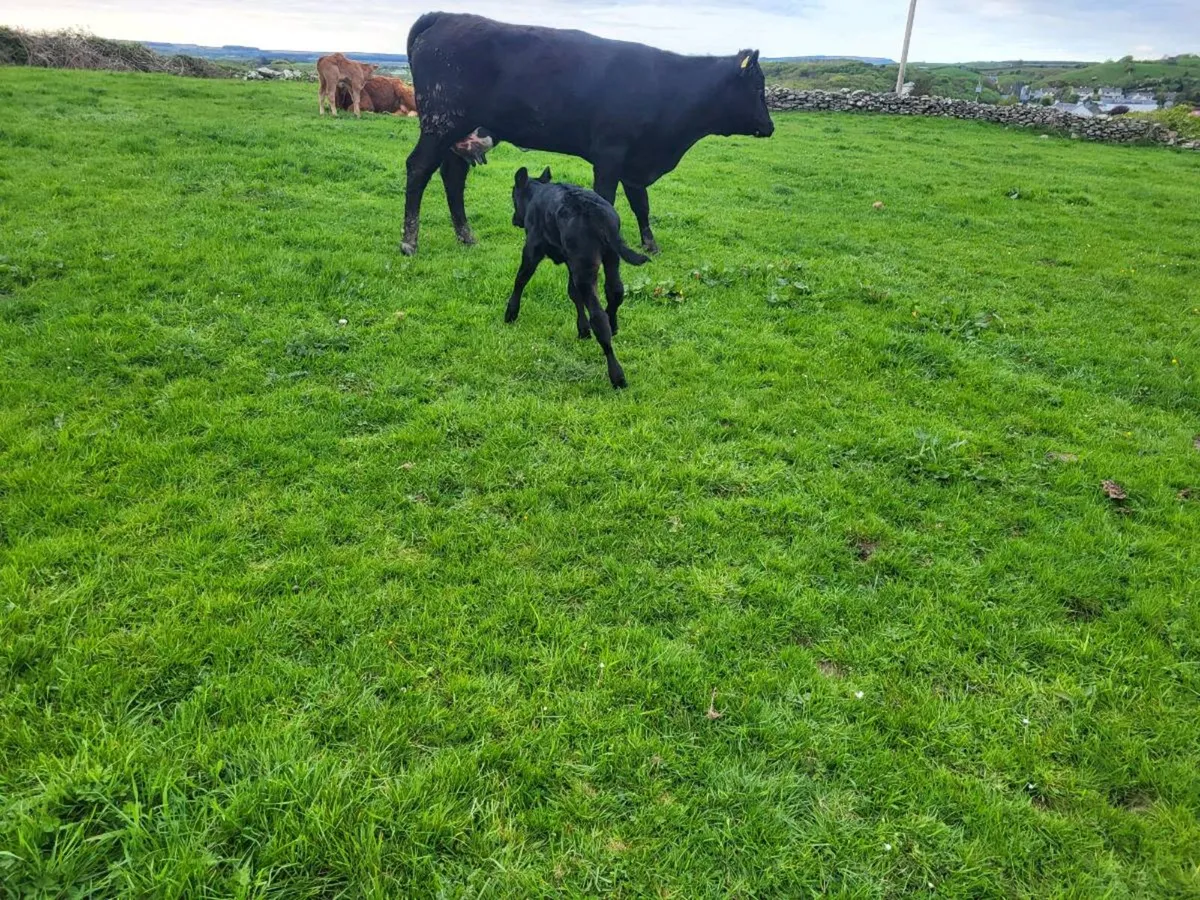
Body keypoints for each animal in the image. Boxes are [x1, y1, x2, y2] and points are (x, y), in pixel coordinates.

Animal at [399, 12, 774, 257]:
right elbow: (608, 199)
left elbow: (641, 205)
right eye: (758, 87)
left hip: (458, 134)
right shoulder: (610, 153)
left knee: (452, 176)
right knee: (418, 169)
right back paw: (409, 241)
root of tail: (444, 16)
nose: (769, 126)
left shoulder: (634, 161)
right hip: (440, 123)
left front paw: (651, 244)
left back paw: (466, 236)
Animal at [505, 166, 648, 388]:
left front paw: (511, 312)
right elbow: (573, 294)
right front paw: (583, 330)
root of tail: (595, 211)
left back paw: (617, 375)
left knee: (598, 316)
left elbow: (521, 279)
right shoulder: (569, 261)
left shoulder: (532, 249)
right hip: (609, 257)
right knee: (615, 291)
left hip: (585, 264)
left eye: (513, 195)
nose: (515, 219)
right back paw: (613, 323)